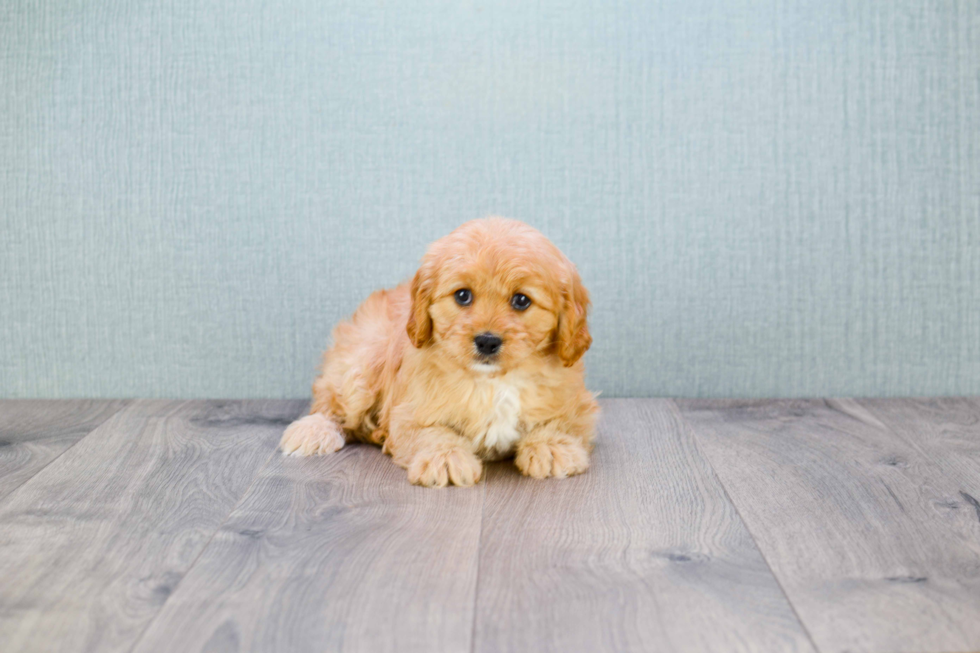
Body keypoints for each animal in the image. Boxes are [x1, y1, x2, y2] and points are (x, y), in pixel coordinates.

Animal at [278, 216, 596, 486]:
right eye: (463, 295)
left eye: (521, 300)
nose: (487, 341)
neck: (492, 381)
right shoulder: (408, 414)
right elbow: (432, 433)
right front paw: (446, 457)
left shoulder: (578, 404)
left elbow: (562, 422)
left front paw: (552, 446)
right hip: (362, 363)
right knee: (330, 400)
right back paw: (314, 429)